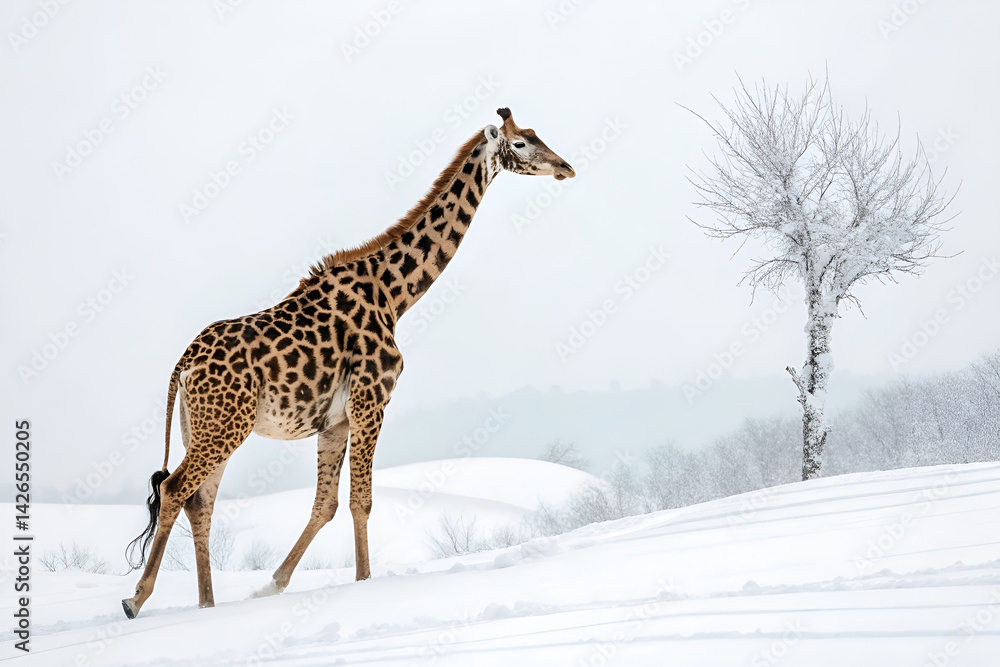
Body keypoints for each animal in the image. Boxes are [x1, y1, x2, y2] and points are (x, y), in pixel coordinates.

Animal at [121, 108, 574, 619]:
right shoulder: (371, 399)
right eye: (520, 143)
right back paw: (136, 599)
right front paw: (363, 583)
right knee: (176, 488)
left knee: (200, 500)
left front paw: (273, 585)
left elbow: (327, 504)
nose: (565, 167)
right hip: (223, 425)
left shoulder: (335, 420)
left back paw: (207, 605)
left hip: (203, 426)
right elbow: (362, 500)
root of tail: (182, 366)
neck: (395, 294)